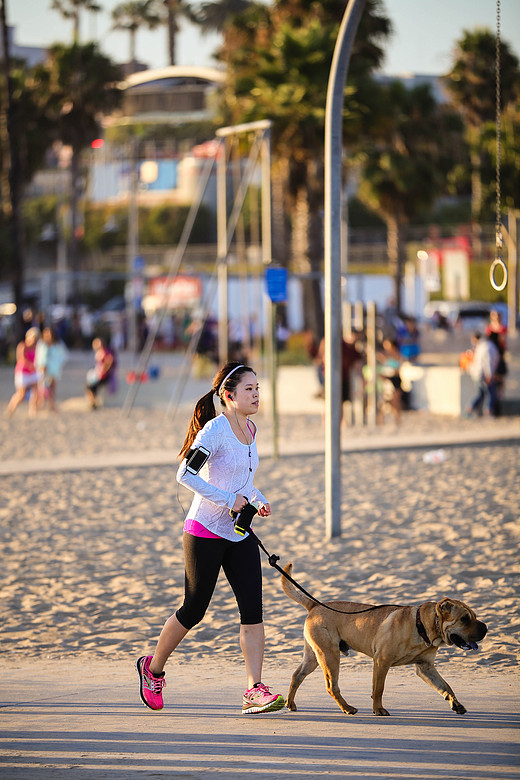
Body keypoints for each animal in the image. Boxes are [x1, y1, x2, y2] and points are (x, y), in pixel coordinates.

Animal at [282, 560, 486, 720]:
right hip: (329, 655)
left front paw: (456, 703)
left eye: (474, 616)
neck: (421, 626)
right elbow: (378, 689)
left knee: (297, 675)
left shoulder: (426, 667)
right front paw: (378, 709)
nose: (485, 628)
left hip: (314, 657)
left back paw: (291, 703)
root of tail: (314, 605)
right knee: (332, 686)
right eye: (464, 619)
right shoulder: (381, 661)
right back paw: (347, 708)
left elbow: (446, 686)